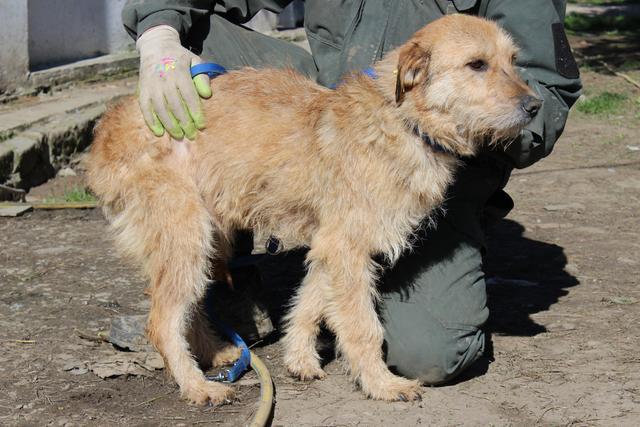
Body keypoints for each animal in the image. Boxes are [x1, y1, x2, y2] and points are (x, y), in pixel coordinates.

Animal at [86, 14, 540, 404]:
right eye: (476, 64)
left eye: (514, 60)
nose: (536, 106)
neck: (403, 121)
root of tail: (107, 127)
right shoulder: (347, 246)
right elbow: (361, 326)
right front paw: (381, 384)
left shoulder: (331, 243)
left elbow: (310, 302)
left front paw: (299, 358)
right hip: (185, 233)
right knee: (162, 322)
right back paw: (198, 386)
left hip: (207, 235)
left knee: (190, 304)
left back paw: (215, 351)